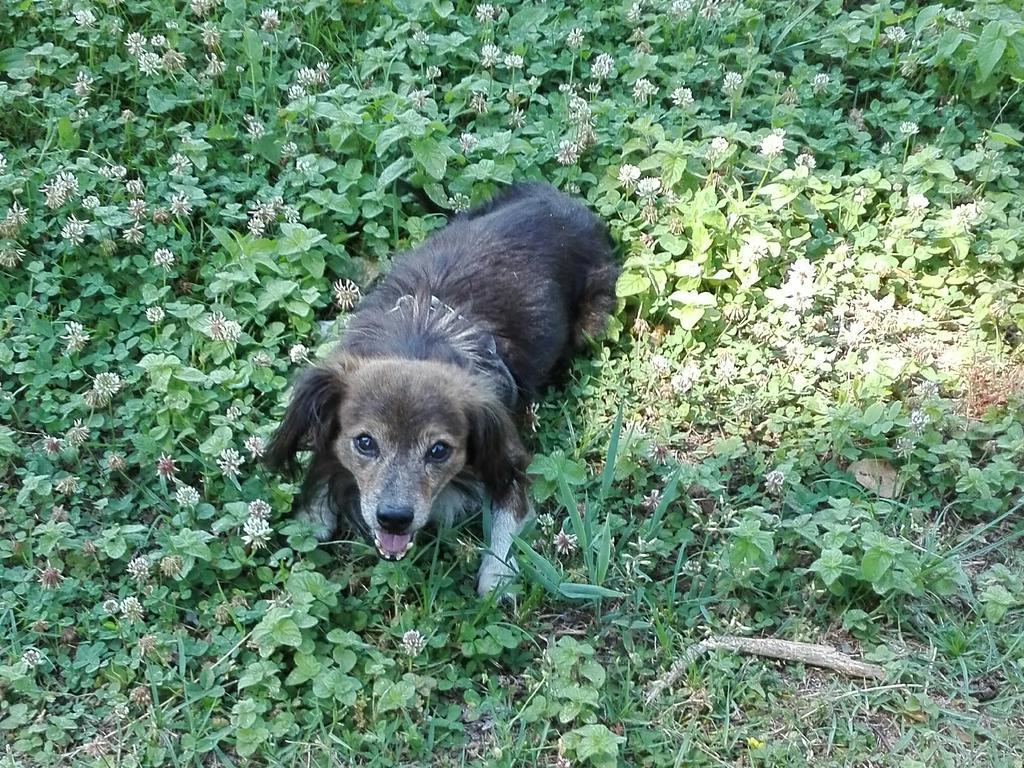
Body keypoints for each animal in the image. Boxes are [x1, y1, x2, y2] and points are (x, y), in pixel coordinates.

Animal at [264, 183, 614, 598]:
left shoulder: (508, 451)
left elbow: (509, 515)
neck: (418, 342)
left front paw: (497, 576)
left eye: (439, 450)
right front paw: (313, 515)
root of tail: (564, 202)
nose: (394, 519)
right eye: (365, 443)